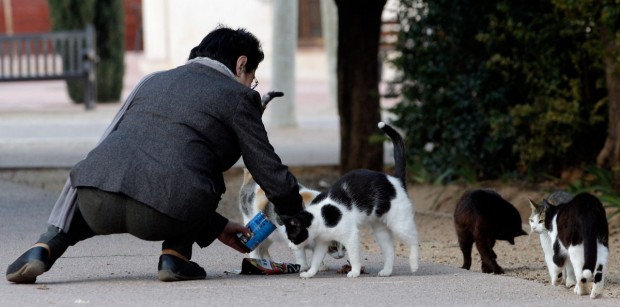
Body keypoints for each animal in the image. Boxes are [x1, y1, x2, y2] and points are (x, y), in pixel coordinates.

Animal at [282, 122, 422, 280]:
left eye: (292, 237)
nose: (289, 246)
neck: (320, 217)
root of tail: (395, 180)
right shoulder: (322, 242)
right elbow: (316, 260)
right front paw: (310, 273)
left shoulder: (351, 236)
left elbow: (354, 256)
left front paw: (354, 271)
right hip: (381, 231)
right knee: (390, 251)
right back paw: (386, 271)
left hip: (399, 224)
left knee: (414, 239)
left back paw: (414, 264)